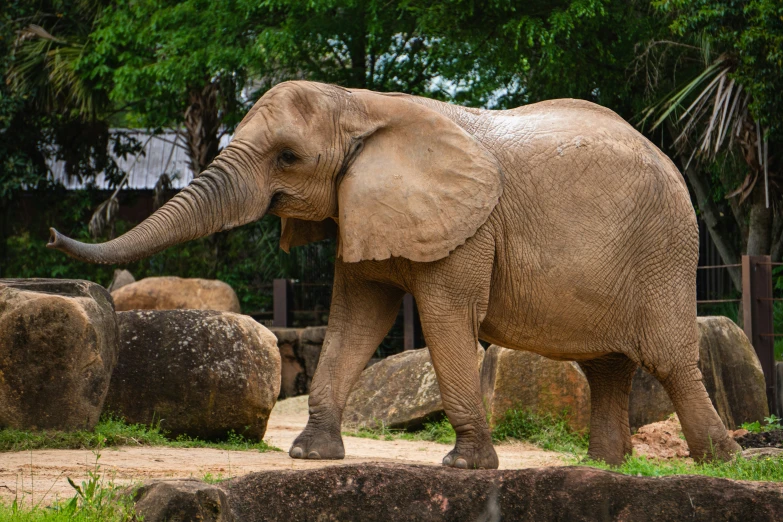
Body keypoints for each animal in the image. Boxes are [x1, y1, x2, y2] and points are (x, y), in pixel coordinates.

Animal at [49, 80, 740, 464]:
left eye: (289, 157)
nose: (54, 232)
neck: (361, 105)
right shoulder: (362, 208)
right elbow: (356, 319)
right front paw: (309, 455)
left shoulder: (469, 229)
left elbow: (442, 317)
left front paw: (464, 468)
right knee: (607, 367)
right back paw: (605, 468)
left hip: (664, 249)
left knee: (670, 359)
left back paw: (724, 464)